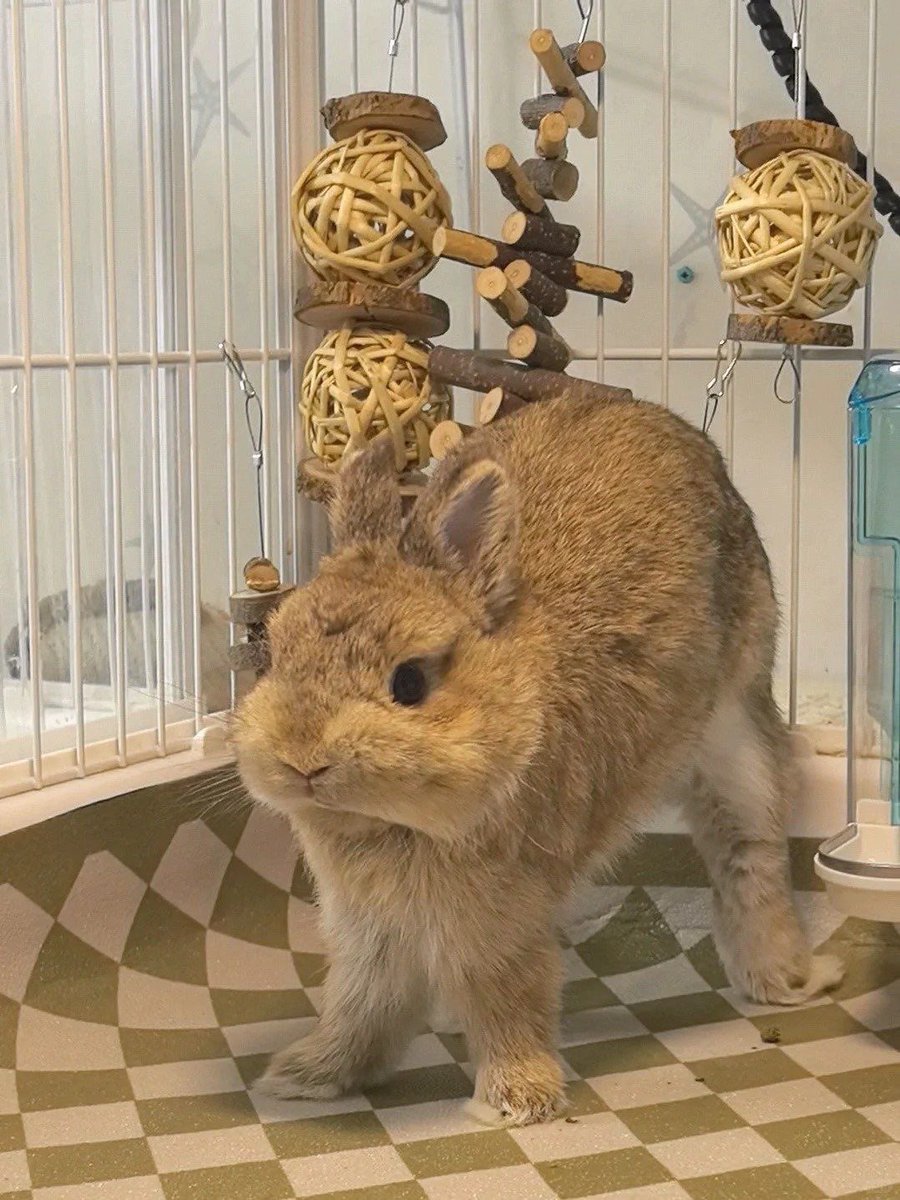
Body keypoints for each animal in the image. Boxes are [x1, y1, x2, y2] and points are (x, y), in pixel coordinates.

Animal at [233, 392, 843, 1126]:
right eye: (273, 653)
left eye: (408, 683)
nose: (302, 760)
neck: (394, 824)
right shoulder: (368, 929)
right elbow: (363, 1004)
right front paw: (309, 1075)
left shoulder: (501, 917)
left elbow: (508, 998)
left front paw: (515, 1101)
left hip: (735, 734)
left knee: (751, 857)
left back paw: (790, 979)